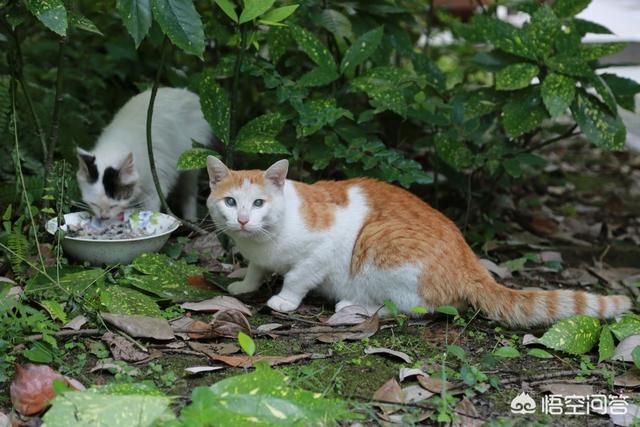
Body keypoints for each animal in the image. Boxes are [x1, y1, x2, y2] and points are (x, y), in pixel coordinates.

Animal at [77, 87, 212, 221]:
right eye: (94, 204)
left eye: (114, 205)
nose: (104, 217)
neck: (117, 143)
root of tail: (186, 92)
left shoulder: (155, 185)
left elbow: (151, 210)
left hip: (189, 166)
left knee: (189, 193)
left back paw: (191, 219)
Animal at [208, 157, 632, 328]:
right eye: (230, 202)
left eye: (259, 203)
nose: (243, 220)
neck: (267, 238)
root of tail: (469, 261)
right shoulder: (258, 255)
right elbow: (256, 269)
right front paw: (244, 284)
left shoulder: (320, 252)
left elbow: (296, 277)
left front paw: (282, 299)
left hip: (379, 245)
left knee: (419, 307)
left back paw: (356, 305)